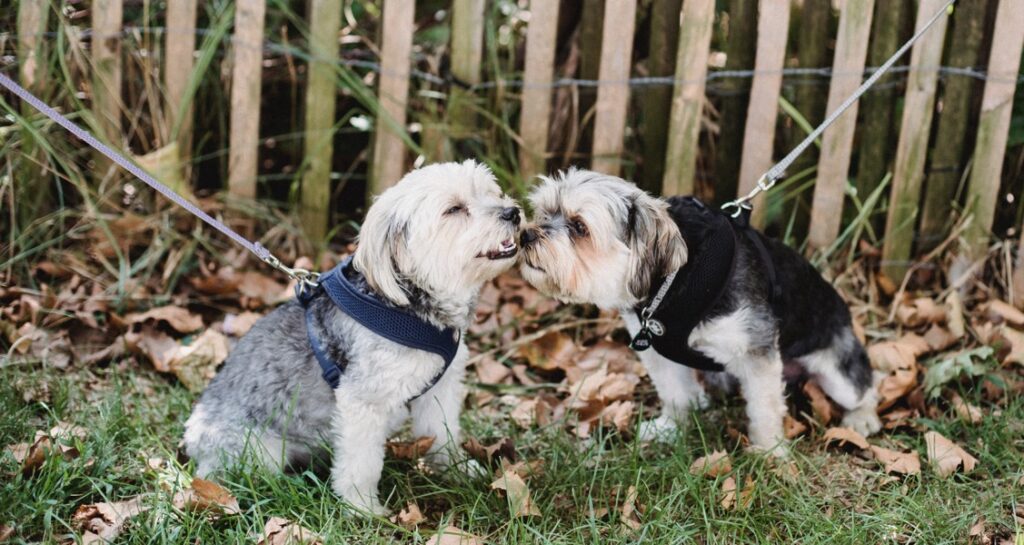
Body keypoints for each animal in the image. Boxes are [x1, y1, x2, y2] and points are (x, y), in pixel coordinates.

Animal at [182, 159, 520, 512]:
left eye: (491, 192)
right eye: (454, 209)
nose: (513, 212)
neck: (407, 306)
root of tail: (192, 442)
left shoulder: (439, 389)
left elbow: (443, 434)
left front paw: (455, 469)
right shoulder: (362, 402)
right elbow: (362, 464)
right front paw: (363, 508)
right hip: (259, 451)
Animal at [520, 170, 880, 454]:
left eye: (580, 227)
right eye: (544, 212)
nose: (525, 234)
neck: (673, 280)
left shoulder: (756, 349)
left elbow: (764, 407)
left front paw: (769, 453)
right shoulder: (657, 353)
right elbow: (675, 394)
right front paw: (670, 429)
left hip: (837, 368)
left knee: (866, 387)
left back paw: (862, 419)